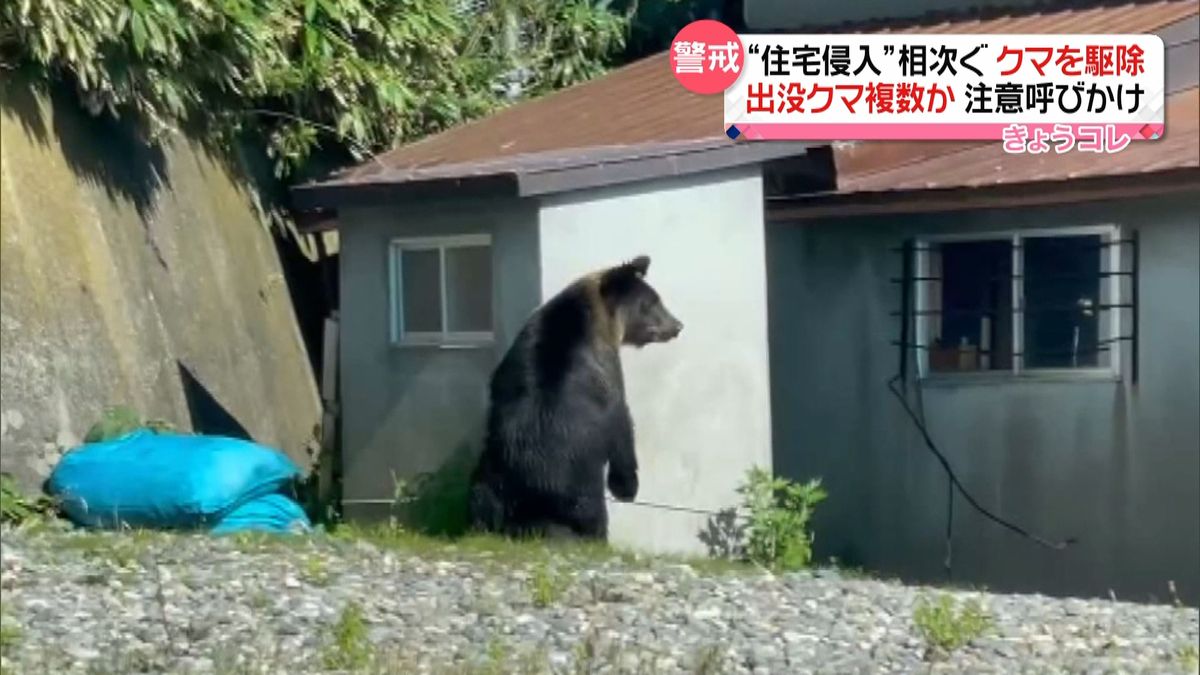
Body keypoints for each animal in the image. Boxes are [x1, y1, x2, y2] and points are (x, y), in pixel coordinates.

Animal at [465, 254, 681, 538]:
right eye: (653, 302)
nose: (677, 325)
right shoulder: (606, 375)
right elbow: (622, 424)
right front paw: (627, 487)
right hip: (579, 488)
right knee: (592, 515)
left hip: (492, 477)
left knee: (481, 500)